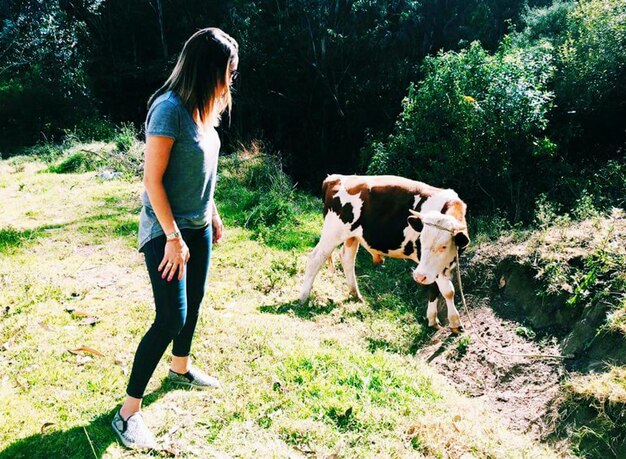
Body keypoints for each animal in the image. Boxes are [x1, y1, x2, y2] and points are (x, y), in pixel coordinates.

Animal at [298, 174, 468, 332]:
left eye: (444, 246)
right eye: (421, 241)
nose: (418, 276)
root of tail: (337, 178)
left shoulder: (435, 267)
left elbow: (435, 288)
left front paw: (433, 320)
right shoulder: (427, 264)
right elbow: (448, 291)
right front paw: (455, 323)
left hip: (352, 236)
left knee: (347, 258)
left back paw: (355, 294)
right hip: (332, 233)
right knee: (315, 258)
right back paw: (303, 298)